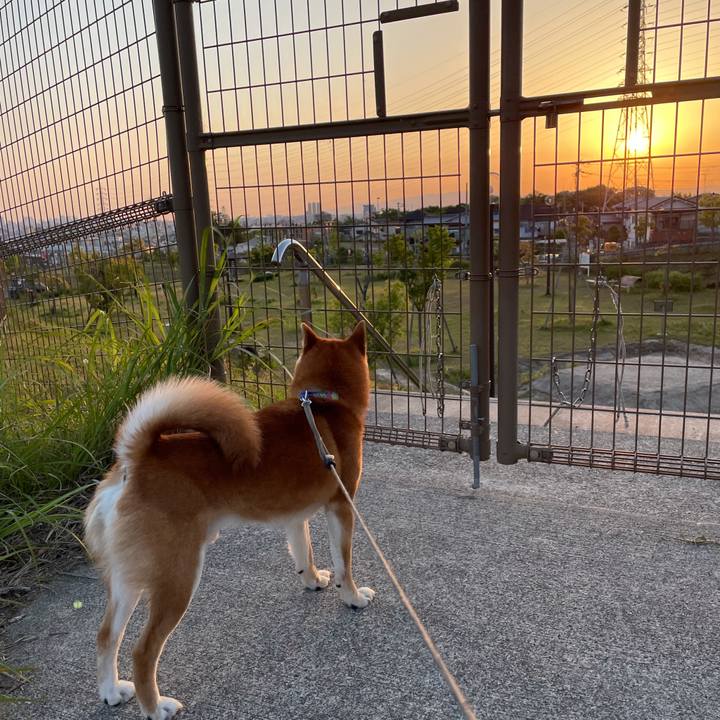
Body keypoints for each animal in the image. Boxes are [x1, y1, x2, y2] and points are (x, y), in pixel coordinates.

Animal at [84, 321, 373, 719]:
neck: (324, 402)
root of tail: (137, 459)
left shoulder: (294, 516)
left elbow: (304, 552)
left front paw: (313, 580)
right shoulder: (341, 507)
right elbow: (345, 562)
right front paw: (353, 597)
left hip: (130, 577)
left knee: (107, 636)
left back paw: (111, 691)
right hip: (176, 578)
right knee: (143, 651)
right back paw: (156, 707)